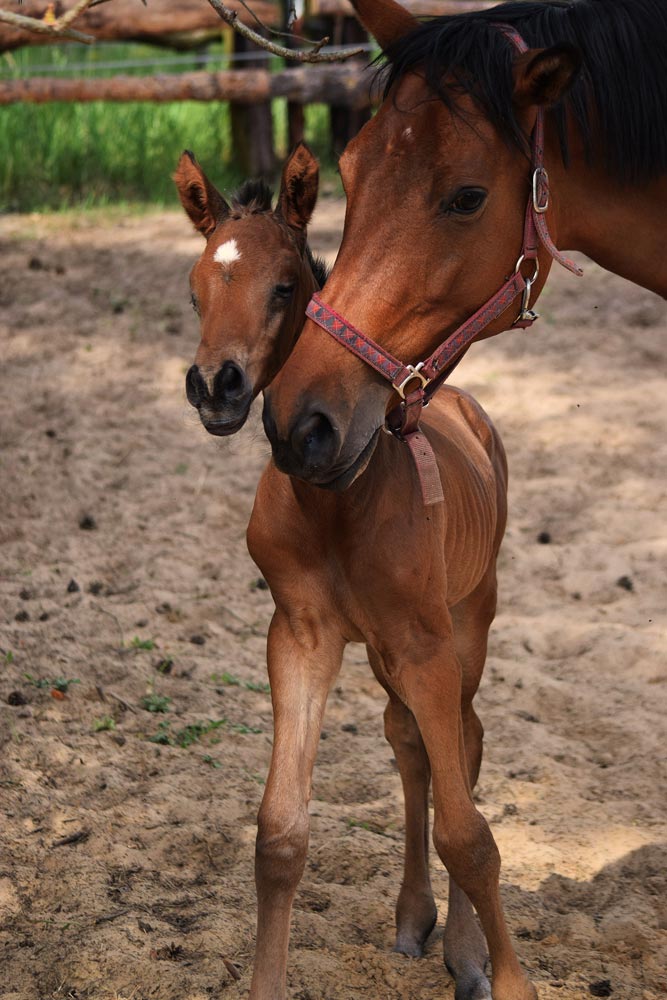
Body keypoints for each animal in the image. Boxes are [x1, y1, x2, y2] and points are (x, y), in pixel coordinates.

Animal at [176, 145, 537, 1000]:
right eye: (195, 287)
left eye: (283, 286)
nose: (215, 386)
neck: (338, 500)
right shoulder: (301, 636)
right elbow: (279, 834)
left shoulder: (427, 645)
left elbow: (469, 834)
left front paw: (500, 974)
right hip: (379, 650)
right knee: (407, 745)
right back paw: (413, 918)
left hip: (466, 620)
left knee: (462, 745)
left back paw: (462, 950)